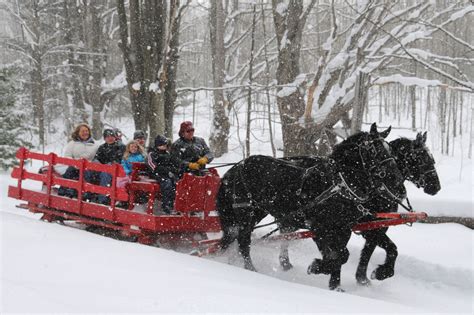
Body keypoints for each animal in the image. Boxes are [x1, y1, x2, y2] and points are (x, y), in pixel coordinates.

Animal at [217, 123, 406, 292]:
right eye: (375, 151)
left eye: (392, 152)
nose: (398, 182)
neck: (337, 184)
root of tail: (239, 165)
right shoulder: (319, 228)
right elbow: (338, 256)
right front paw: (317, 267)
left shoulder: (344, 229)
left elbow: (344, 255)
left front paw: (338, 284)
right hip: (245, 212)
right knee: (243, 241)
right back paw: (251, 269)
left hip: (258, 212)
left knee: (237, 238)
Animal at [356, 132, 440, 286]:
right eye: (422, 159)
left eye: (432, 159)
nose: (436, 186)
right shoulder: (368, 226)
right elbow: (392, 249)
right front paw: (381, 272)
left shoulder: (378, 226)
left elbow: (368, 252)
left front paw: (363, 278)